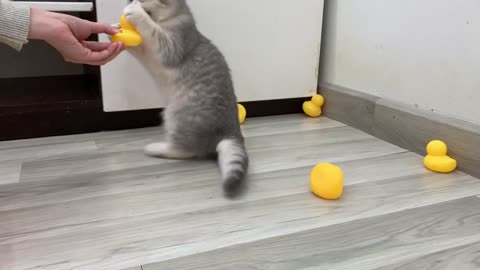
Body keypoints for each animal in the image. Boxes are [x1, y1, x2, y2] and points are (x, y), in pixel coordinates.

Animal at [122, 0, 249, 197]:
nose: (129, 1)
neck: (167, 19)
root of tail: (232, 131)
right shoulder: (146, 51)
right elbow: (139, 46)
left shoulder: (171, 46)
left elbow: (153, 31)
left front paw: (136, 13)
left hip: (177, 115)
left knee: (185, 150)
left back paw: (156, 148)